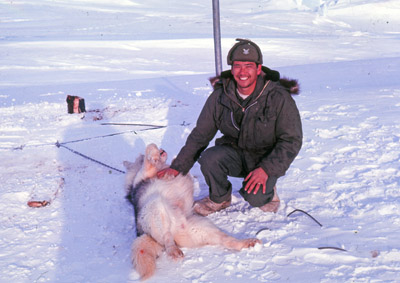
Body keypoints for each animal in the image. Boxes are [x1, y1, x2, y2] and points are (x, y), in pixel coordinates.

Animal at [125, 144, 262, 282]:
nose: (162, 149)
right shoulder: (143, 174)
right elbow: (149, 155)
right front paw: (154, 153)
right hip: (155, 206)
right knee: (166, 237)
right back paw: (173, 250)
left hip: (204, 228)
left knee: (227, 241)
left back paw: (248, 242)